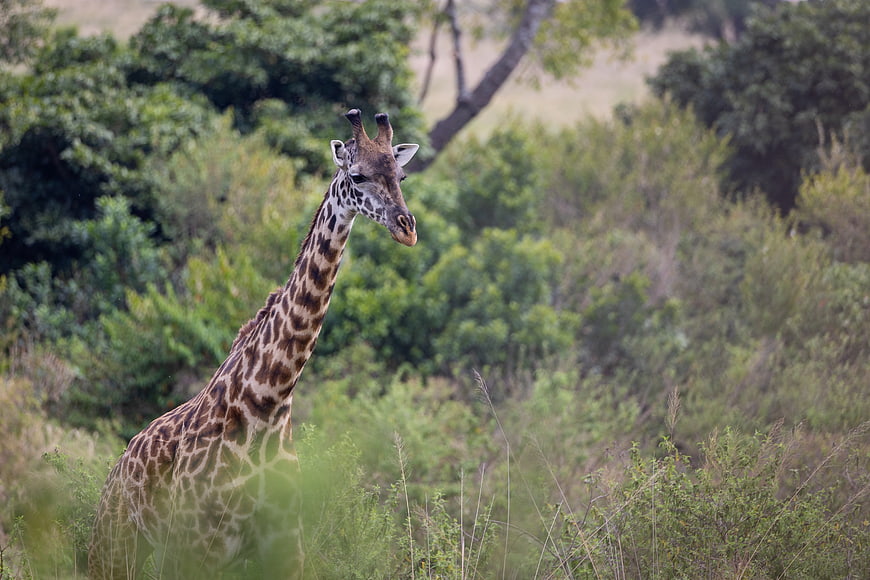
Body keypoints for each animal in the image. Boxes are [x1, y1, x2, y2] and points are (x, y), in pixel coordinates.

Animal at [88, 109, 419, 579]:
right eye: (356, 175)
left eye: (400, 174)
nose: (406, 230)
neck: (267, 400)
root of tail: (116, 471)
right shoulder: (198, 547)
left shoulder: (284, 548)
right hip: (117, 545)